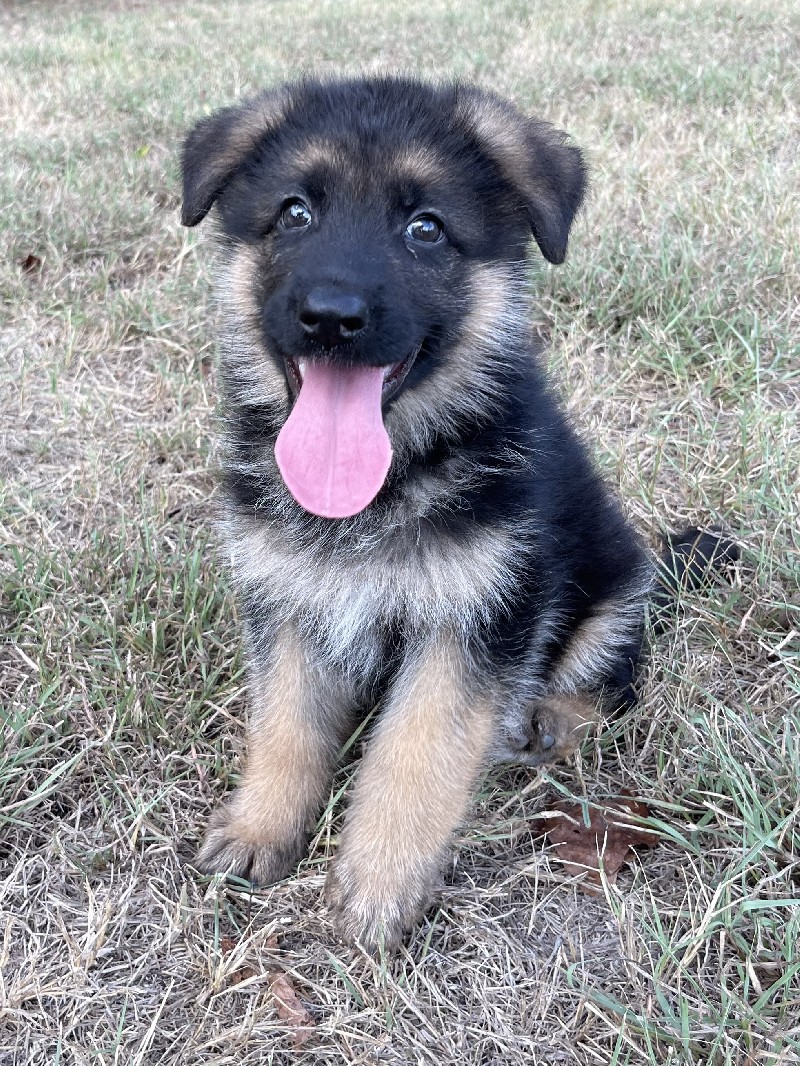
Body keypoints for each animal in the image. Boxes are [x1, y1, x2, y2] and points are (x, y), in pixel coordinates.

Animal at [181, 78, 725, 946]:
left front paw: (380, 882)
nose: (330, 315)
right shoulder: (287, 600)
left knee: (614, 685)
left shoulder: (474, 621)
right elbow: (286, 723)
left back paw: (551, 720)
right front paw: (262, 826)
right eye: (294, 213)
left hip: (614, 593)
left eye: (426, 229)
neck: (389, 483)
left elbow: (417, 751)